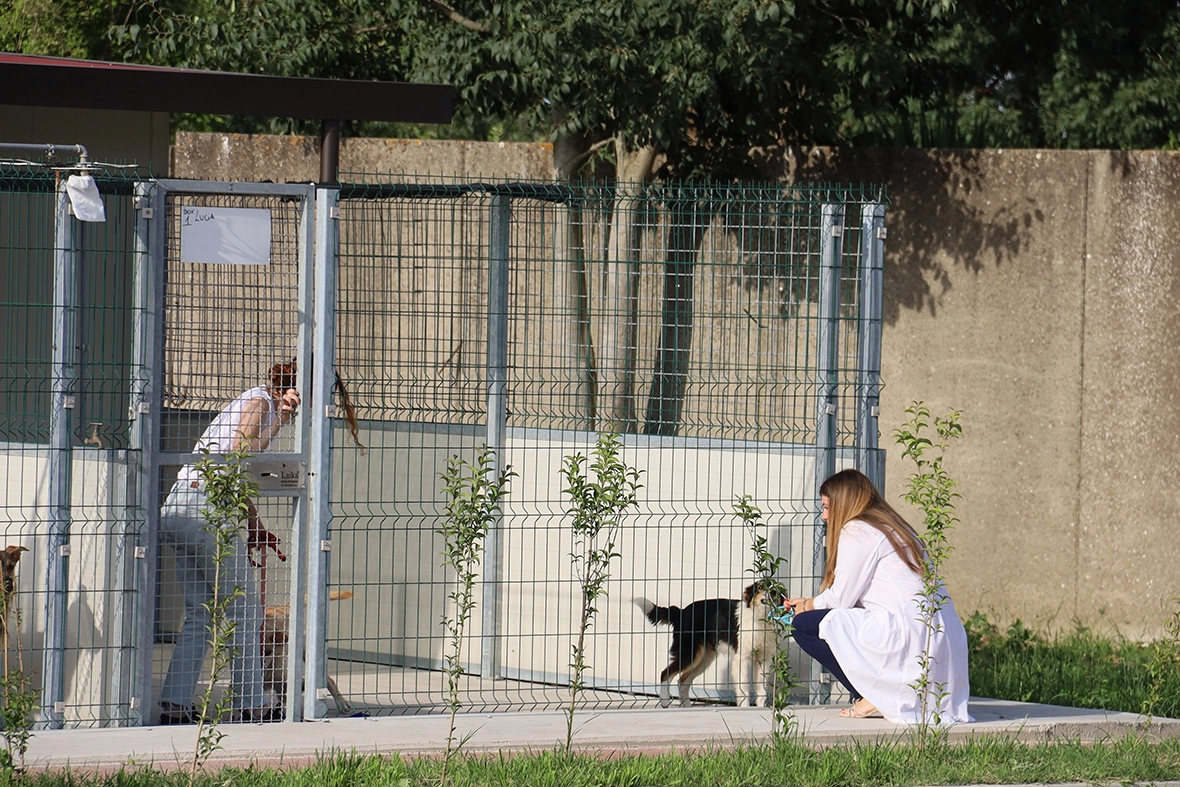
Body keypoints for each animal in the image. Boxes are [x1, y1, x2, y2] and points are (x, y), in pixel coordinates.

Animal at [632, 582, 778, 712]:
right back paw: (664, 701)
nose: (773, 592)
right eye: (760, 587)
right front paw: (745, 709)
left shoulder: (763, 659)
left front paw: (760, 709)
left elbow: (762, 689)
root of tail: (681, 612)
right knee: (665, 673)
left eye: (775, 588)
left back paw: (686, 707)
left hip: (702, 660)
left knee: (682, 681)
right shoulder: (742, 659)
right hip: (689, 654)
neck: (760, 618)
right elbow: (744, 689)